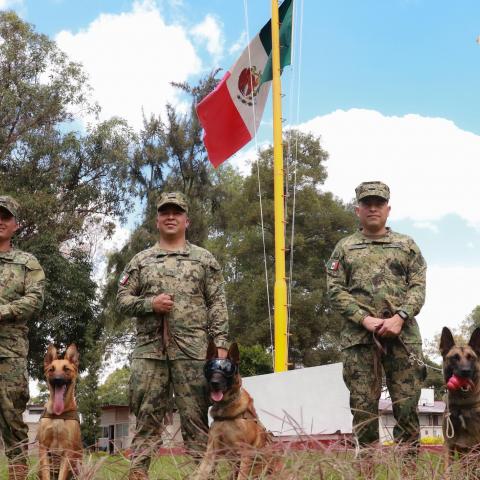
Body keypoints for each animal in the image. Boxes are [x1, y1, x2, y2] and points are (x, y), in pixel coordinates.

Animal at [37, 344, 82, 480]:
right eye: (51, 369)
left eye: (66, 369)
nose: (57, 379)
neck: (59, 414)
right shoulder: (43, 448)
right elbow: (46, 474)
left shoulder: (67, 451)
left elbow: (62, 476)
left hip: (78, 467)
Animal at [193, 342, 282, 480]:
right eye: (210, 369)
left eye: (227, 370)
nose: (214, 383)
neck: (225, 409)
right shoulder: (211, 452)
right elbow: (200, 473)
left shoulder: (245, 453)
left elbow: (242, 476)